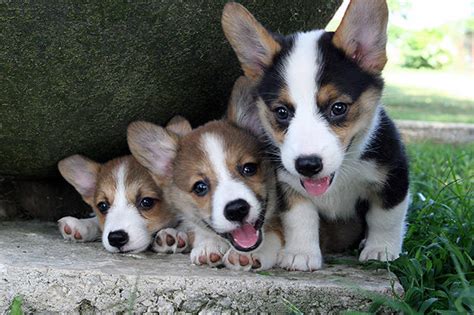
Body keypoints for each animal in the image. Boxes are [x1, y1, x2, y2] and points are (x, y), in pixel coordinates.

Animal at [222, 0, 412, 272]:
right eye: (281, 112)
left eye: (338, 108)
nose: (307, 165)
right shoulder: (288, 185)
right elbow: (300, 218)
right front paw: (300, 254)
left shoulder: (394, 176)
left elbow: (386, 218)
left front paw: (381, 250)